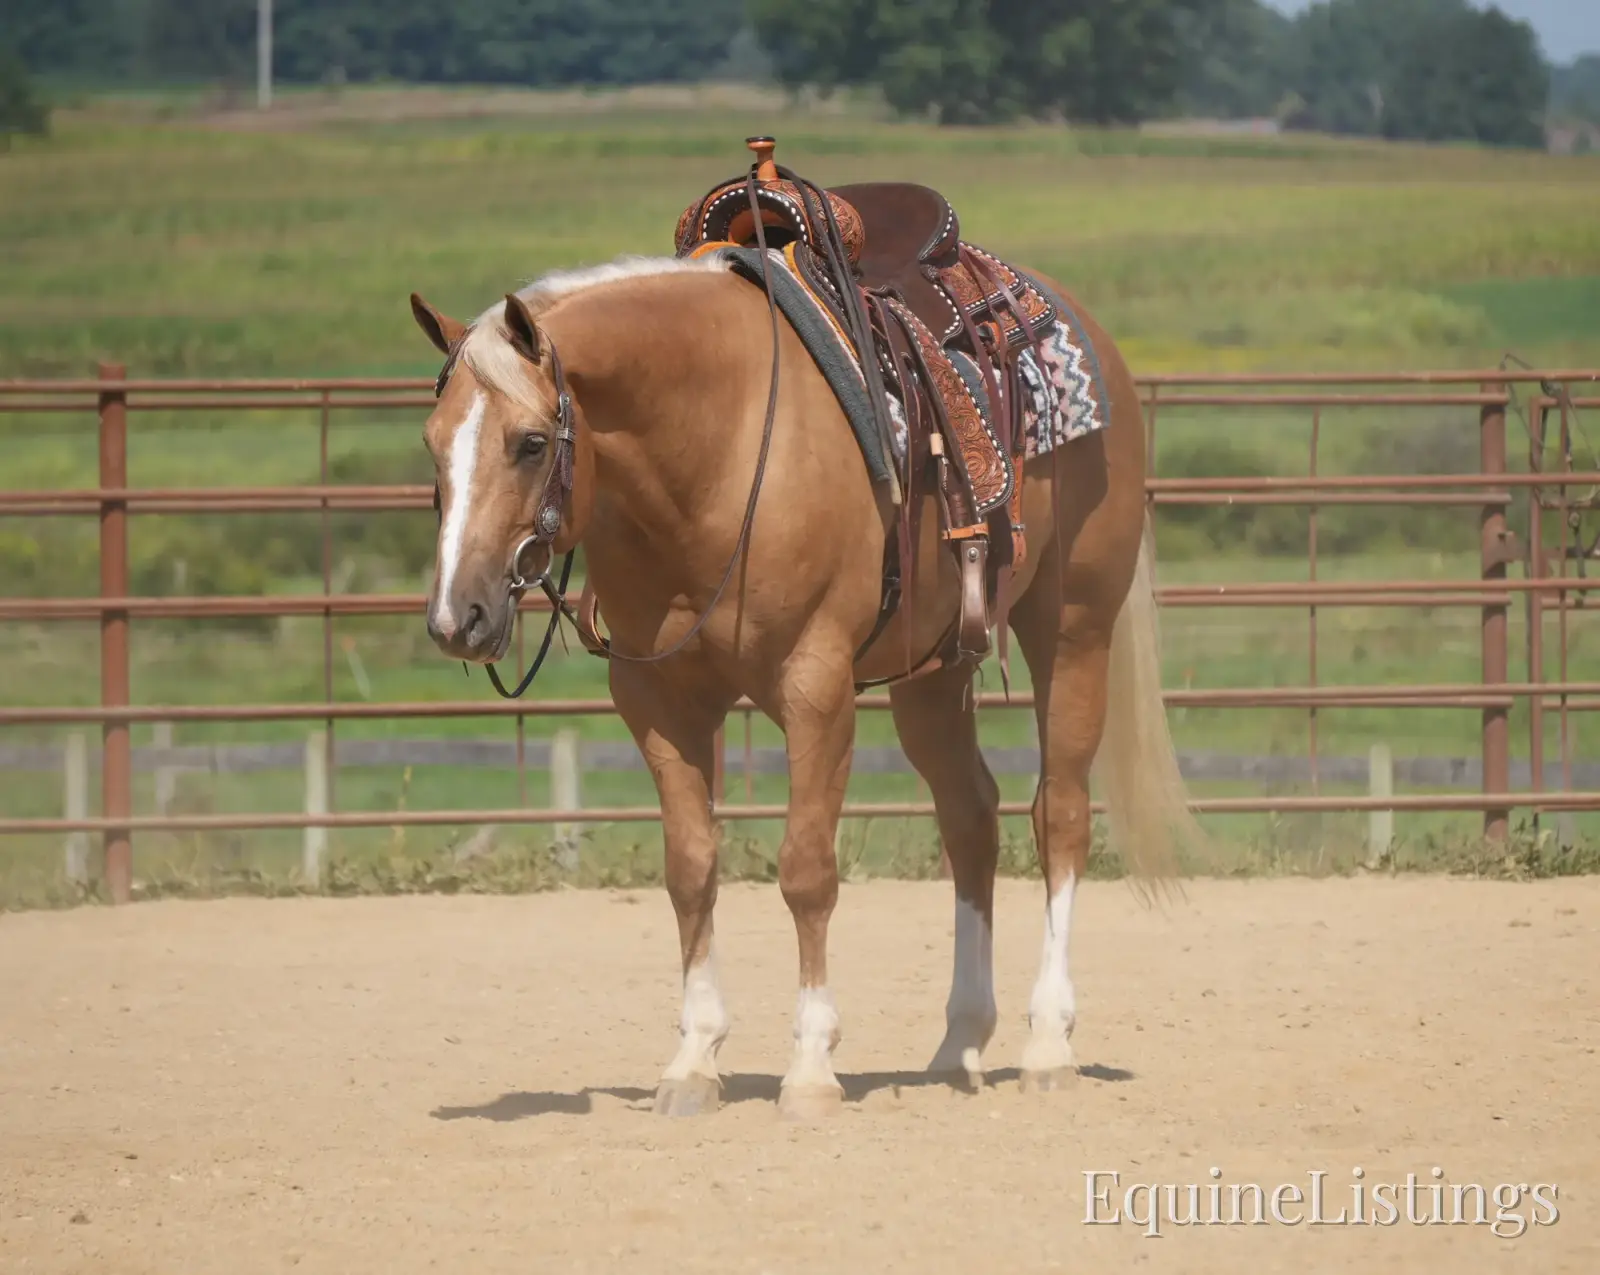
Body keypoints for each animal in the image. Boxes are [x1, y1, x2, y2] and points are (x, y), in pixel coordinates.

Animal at [408, 247, 1199, 1120]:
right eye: (432, 443)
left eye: (530, 441)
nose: (456, 617)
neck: (718, 448)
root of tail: (1089, 332)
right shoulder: (658, 704)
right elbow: (690, 870)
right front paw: (693, 1059)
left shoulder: (815, 690)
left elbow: (807, 871)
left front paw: (812, 1064)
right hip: (935, 672)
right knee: (970, 819)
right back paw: (959, 1042)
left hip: (1073, 627)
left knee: (1058, 813)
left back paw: (1048, 1041)